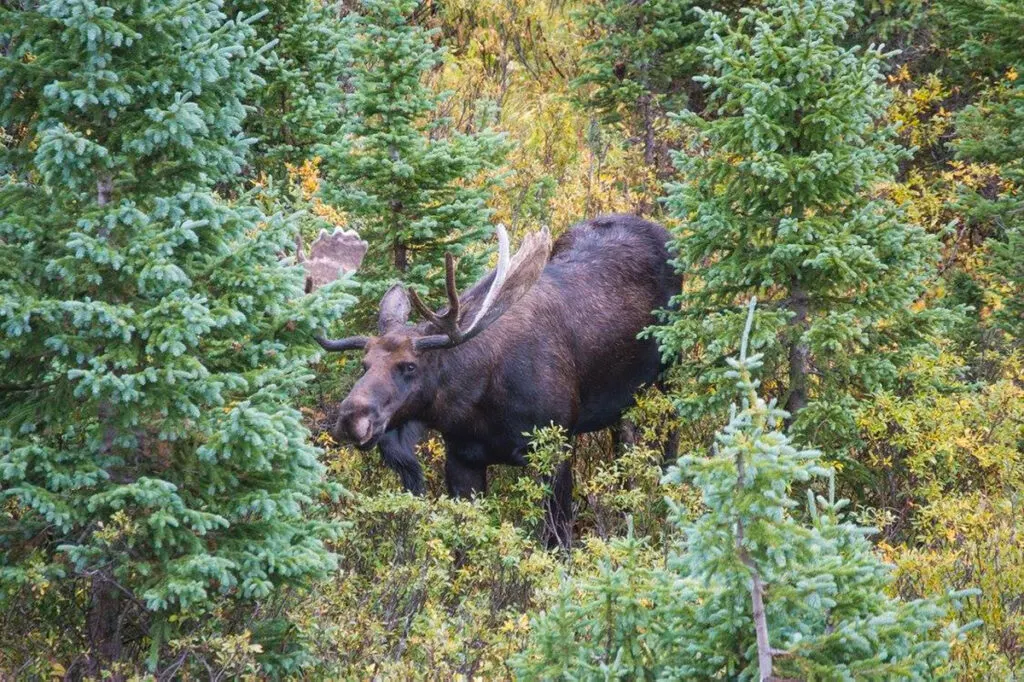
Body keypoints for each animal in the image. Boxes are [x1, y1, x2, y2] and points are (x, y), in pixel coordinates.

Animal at [311, 215, 679, 544]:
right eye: (364, 364)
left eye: (410, 366)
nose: (352, 417)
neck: (479, 403)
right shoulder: (461, 458)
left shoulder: (555, 446)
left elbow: (557, 538)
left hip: (672, 368)